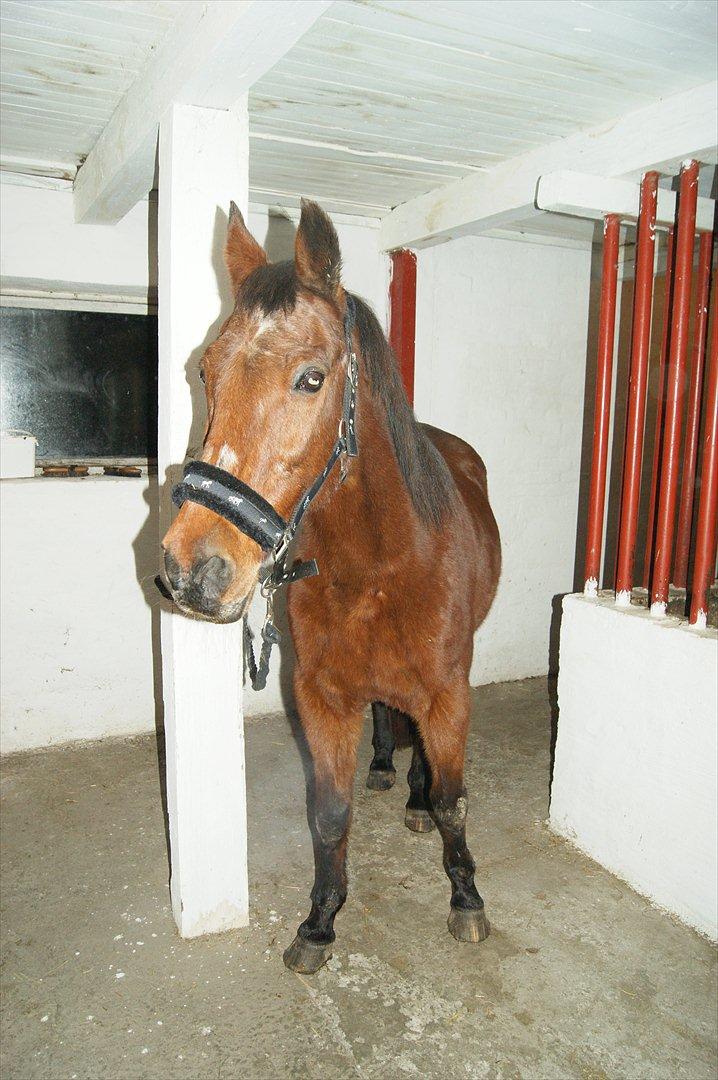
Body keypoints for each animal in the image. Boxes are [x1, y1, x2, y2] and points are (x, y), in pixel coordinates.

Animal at [161, 200, 501, 974]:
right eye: (206, 370)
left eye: (312, 379)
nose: (193, 570)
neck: (378, 563)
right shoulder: (320, 696)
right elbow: (329, 813)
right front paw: (320, 920)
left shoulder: (449, 695)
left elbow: (454, 800)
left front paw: (466, 897)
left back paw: (411, 798)